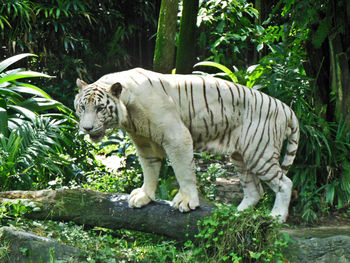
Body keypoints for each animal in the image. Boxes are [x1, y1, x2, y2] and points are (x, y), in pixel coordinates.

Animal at [74, 67, 298, 223]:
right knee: (255, 190)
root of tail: (286, 108)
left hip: (259, 153)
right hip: (240, 157)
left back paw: (277, 216)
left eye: (100, 108)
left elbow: (183, 171)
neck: (128, 111)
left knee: (285, 183)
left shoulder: (177, 137)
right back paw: (236, 214)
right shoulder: (144, 142)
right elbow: (149, 170)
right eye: (82, 107)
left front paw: (187, 202)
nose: (86, 128)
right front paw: (144, 196)